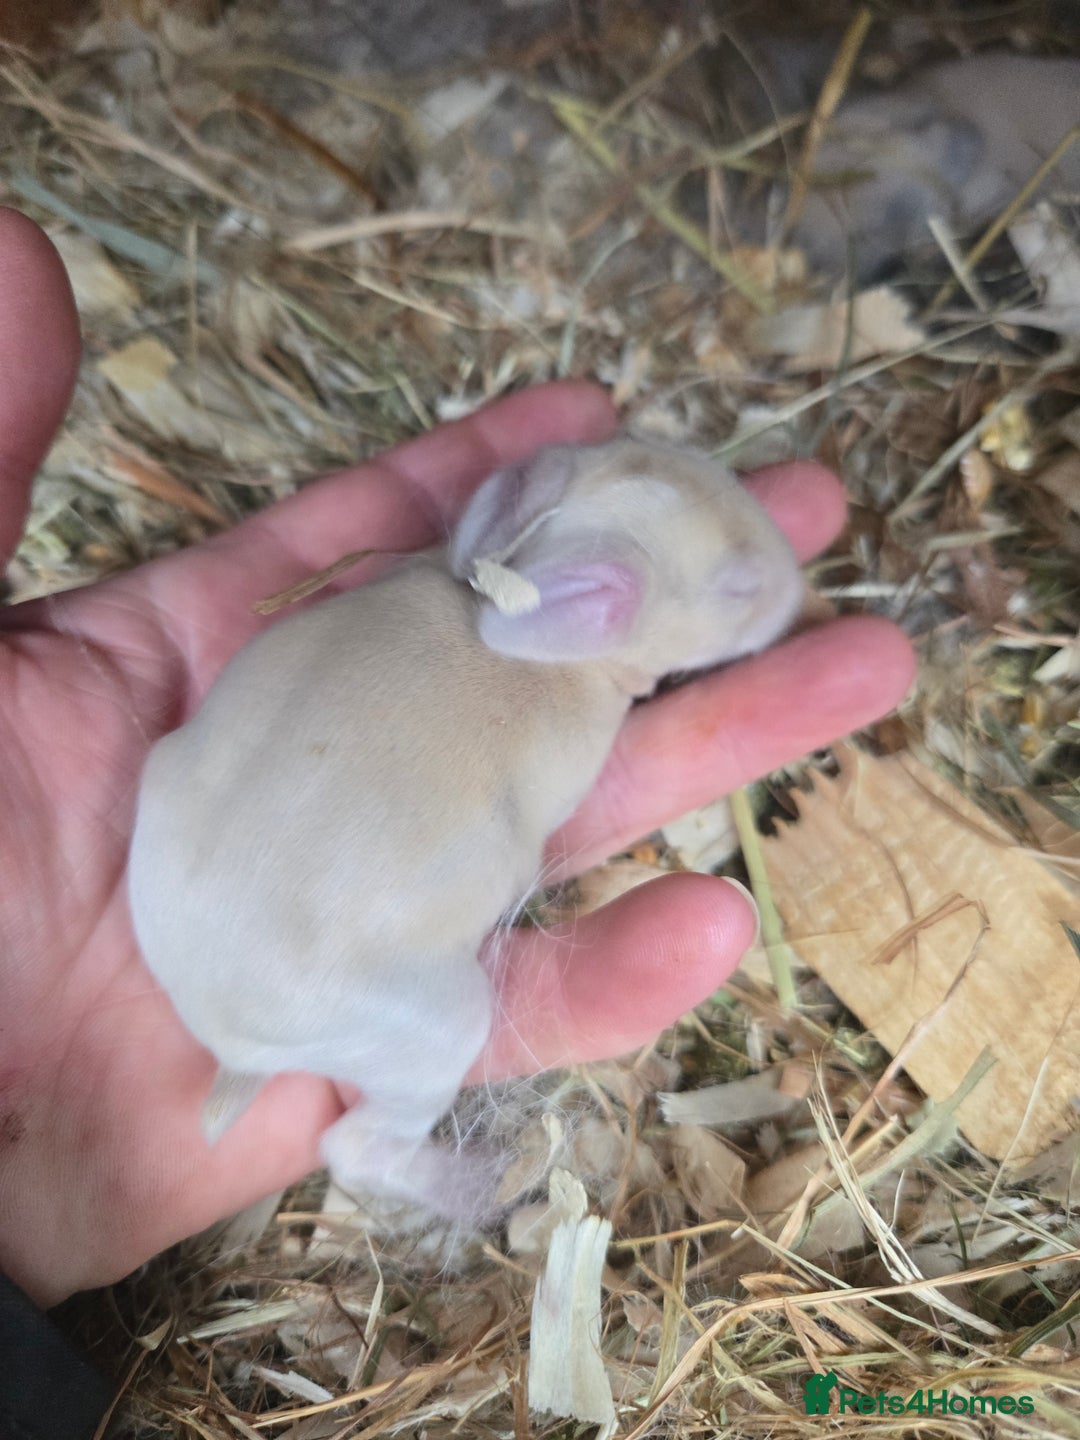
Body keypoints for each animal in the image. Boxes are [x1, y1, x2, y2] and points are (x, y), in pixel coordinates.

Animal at [126, 435, 804, 1221]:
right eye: (738, 588)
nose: (795, 583)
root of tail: (224, 1039)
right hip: (439, 1026)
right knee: (357, 1148)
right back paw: (485, 1185)